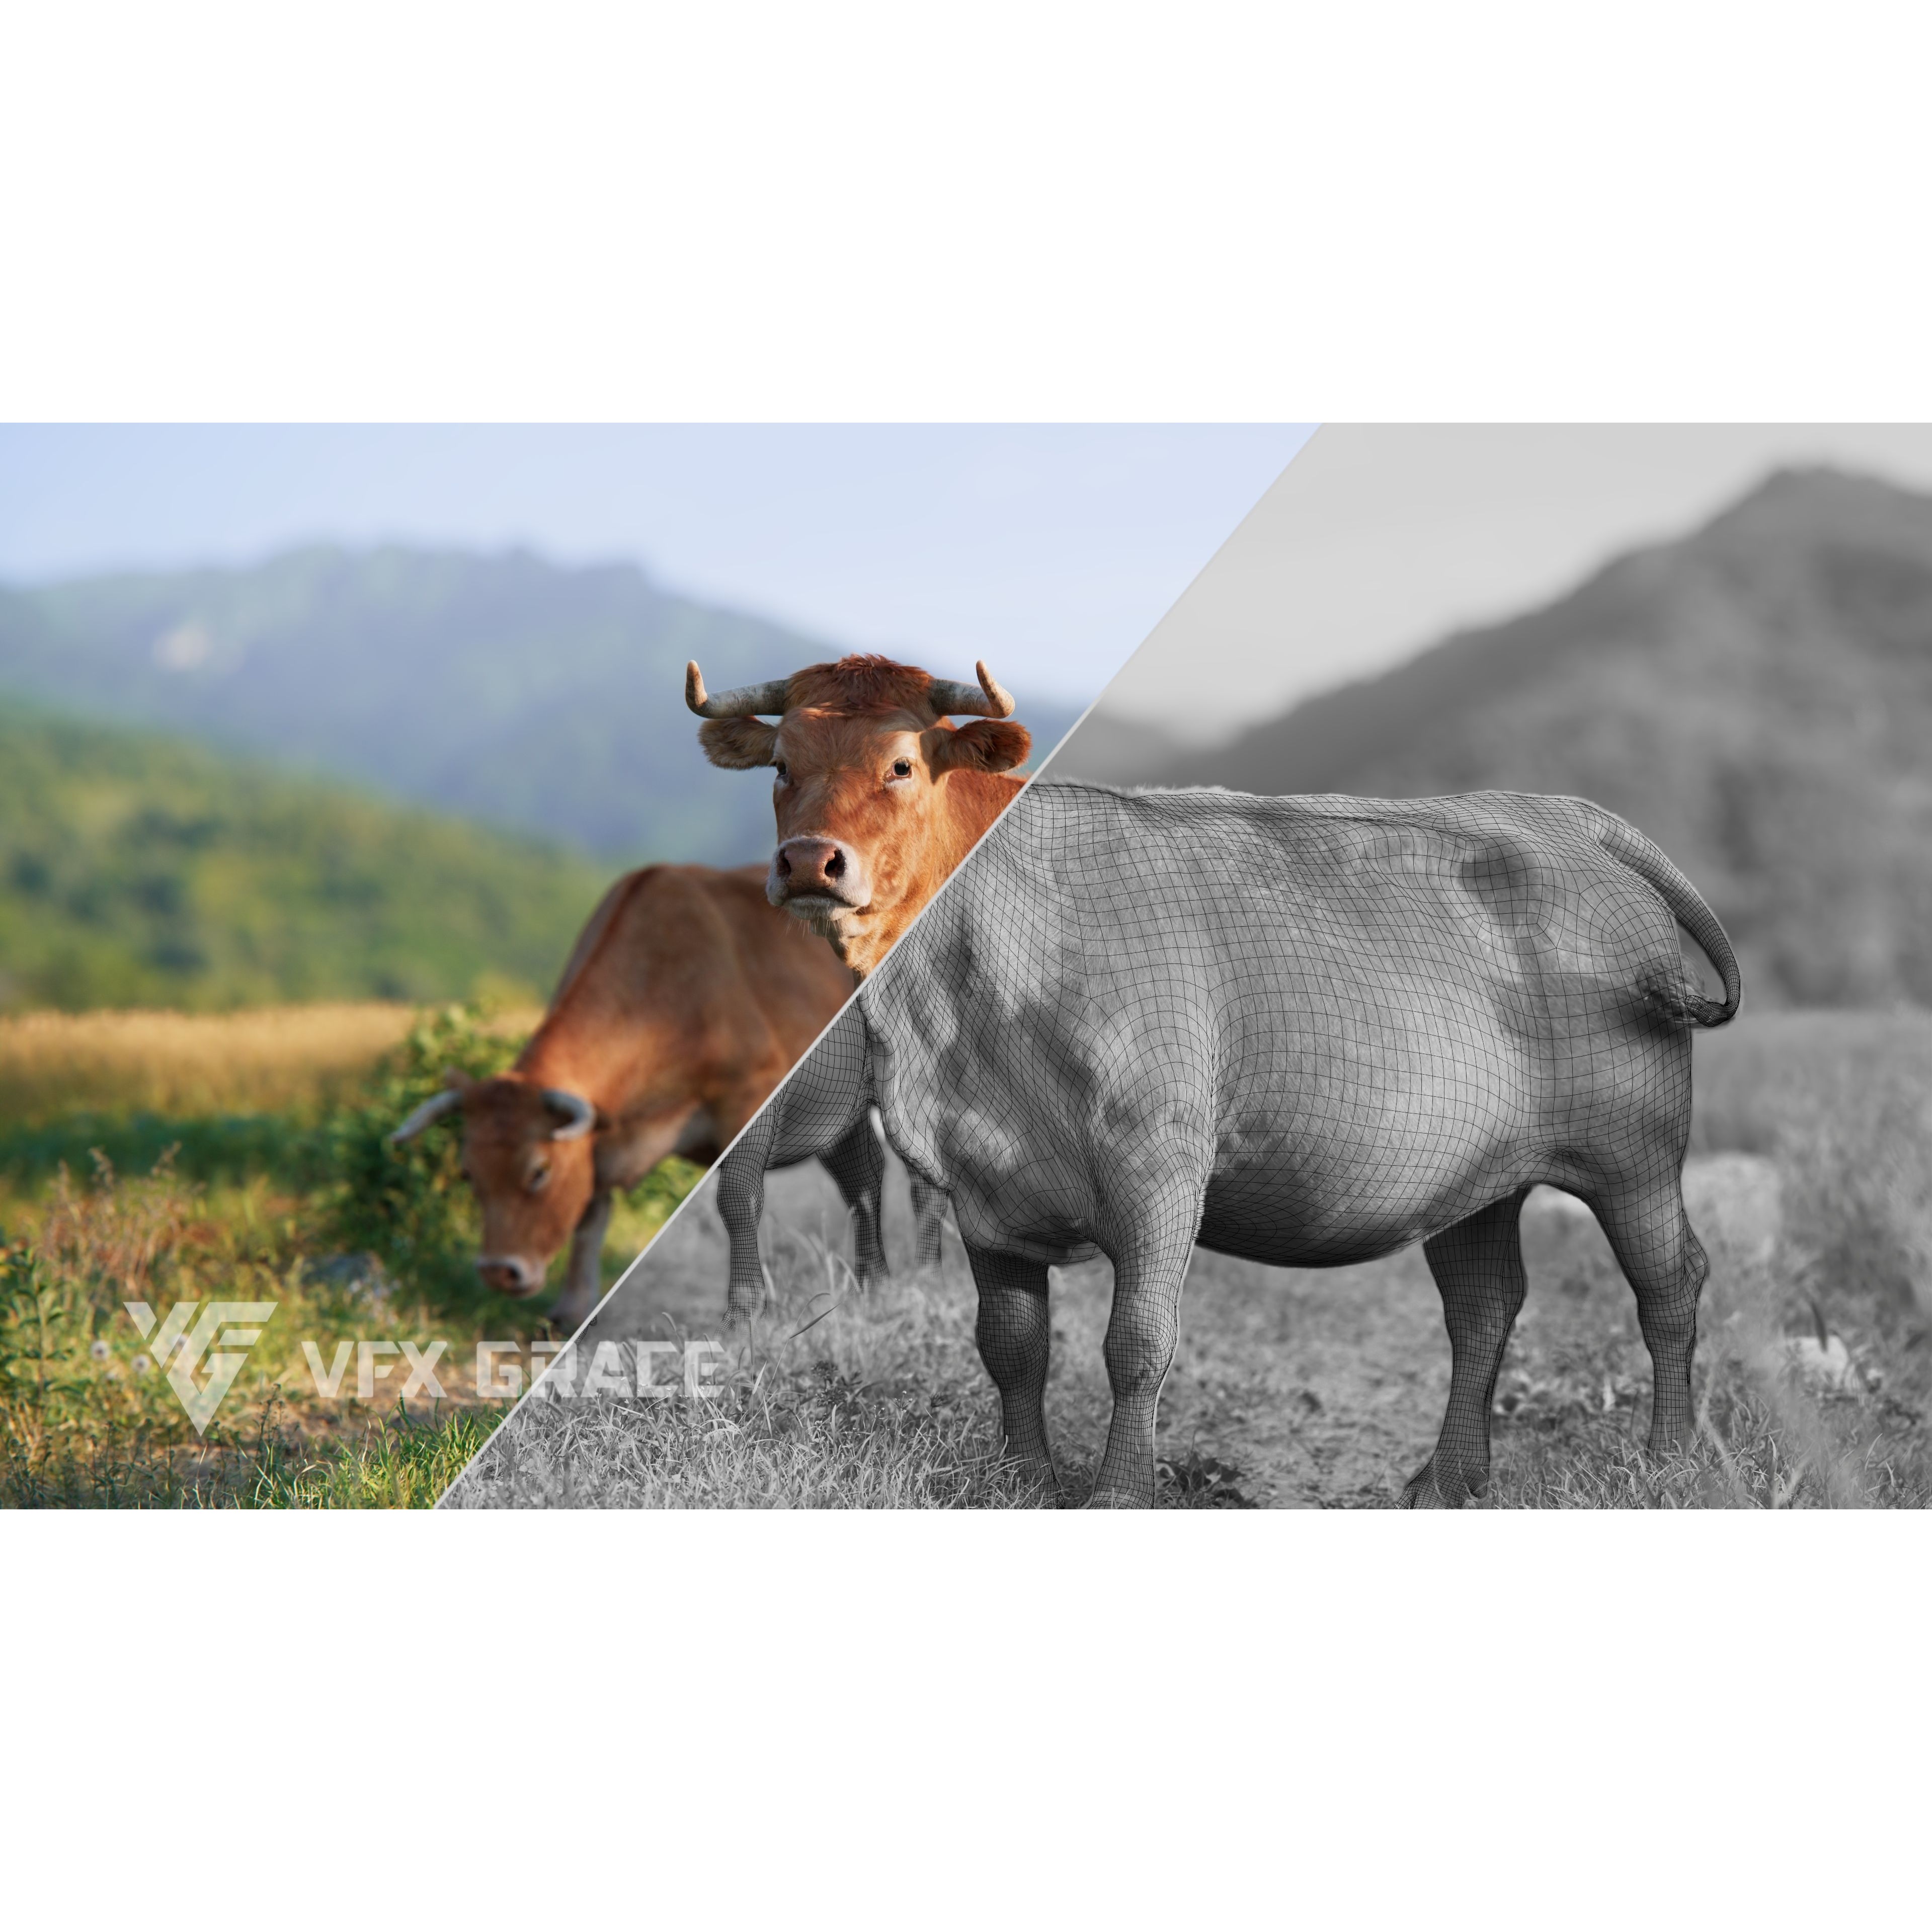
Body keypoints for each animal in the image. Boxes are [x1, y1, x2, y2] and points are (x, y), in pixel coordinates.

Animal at [387, 864, 894, 1329]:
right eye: (468, 1173)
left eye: (539, 1171)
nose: (498, 1272)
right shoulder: (598, 1143)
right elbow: (590, 1217)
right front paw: (573, 1313)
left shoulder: (749, 1101)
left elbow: (739, 1200)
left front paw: (747, 1311)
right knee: (861, 1177)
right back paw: (874, 1287)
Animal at [721, 780, 1743, 1508]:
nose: (811, 864)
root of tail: (1560, 814)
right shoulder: (983, 1187)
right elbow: (1011, 1343)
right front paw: (1019, 1481)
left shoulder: (1158, 1166)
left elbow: (1136, 1340)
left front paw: (1118, 1496)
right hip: (1476, 1178)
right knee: (1485, 1307)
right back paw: (1448, 1481)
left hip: (1636, 1150)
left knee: (1670, 1284)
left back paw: (1668, 1463)